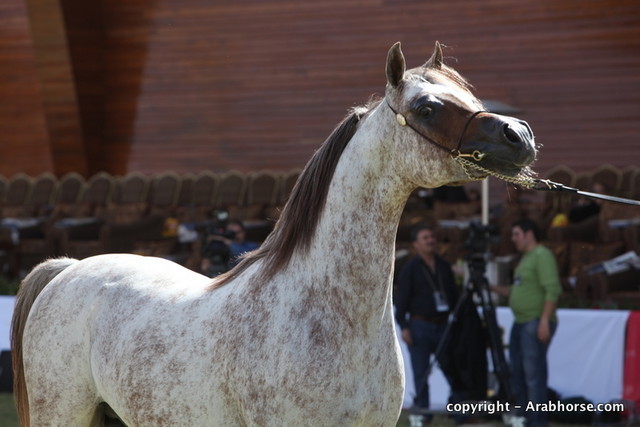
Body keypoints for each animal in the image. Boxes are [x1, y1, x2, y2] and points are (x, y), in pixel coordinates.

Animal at [11, 41, 536, 426]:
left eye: (472, 97)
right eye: (427, 107)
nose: (520, 136)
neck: (324, 311)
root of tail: (68, 269)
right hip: (64, 414)